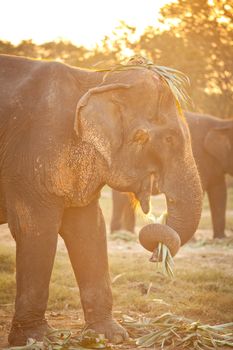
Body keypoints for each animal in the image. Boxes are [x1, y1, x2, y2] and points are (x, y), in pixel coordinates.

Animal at [0, 56, 202, 346]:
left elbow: (89, 230)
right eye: (169, 138)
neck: (99, 79)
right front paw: (35, 339)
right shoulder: (32, 155)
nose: (156, 256)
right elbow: (36, 230)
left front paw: (110, 335)